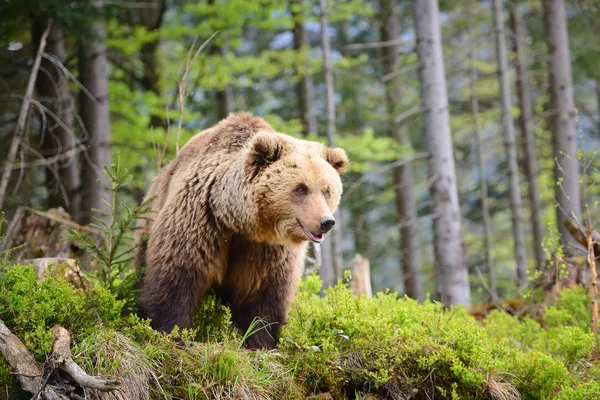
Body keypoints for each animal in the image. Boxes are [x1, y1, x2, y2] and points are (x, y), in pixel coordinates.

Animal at [137, 113, 350, 350]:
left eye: (326, 190)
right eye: (301, 188)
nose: (326, 221)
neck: (240, 221)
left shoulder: (267, 248)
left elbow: (263, 293)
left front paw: (260, 341)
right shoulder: (200, 220)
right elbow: (178, 274)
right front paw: (171, 333)